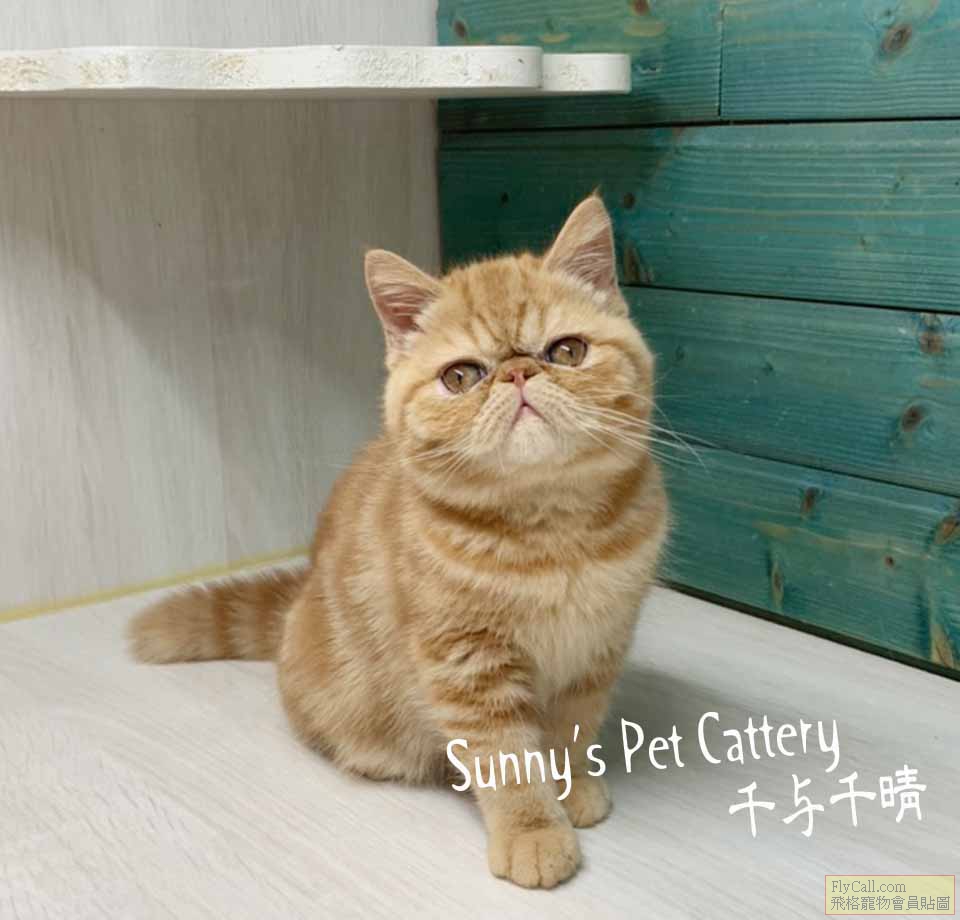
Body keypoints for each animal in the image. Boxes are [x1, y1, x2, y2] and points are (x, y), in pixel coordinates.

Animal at [129, 195, 668, 889]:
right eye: (462, 376)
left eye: (567, 351)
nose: (518, 372)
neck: (549, 532)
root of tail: (298, 598)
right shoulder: (466, 666)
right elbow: (507, 759)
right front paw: (533, 830)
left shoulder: (597, 650)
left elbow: (572, 732)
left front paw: (571, 788)